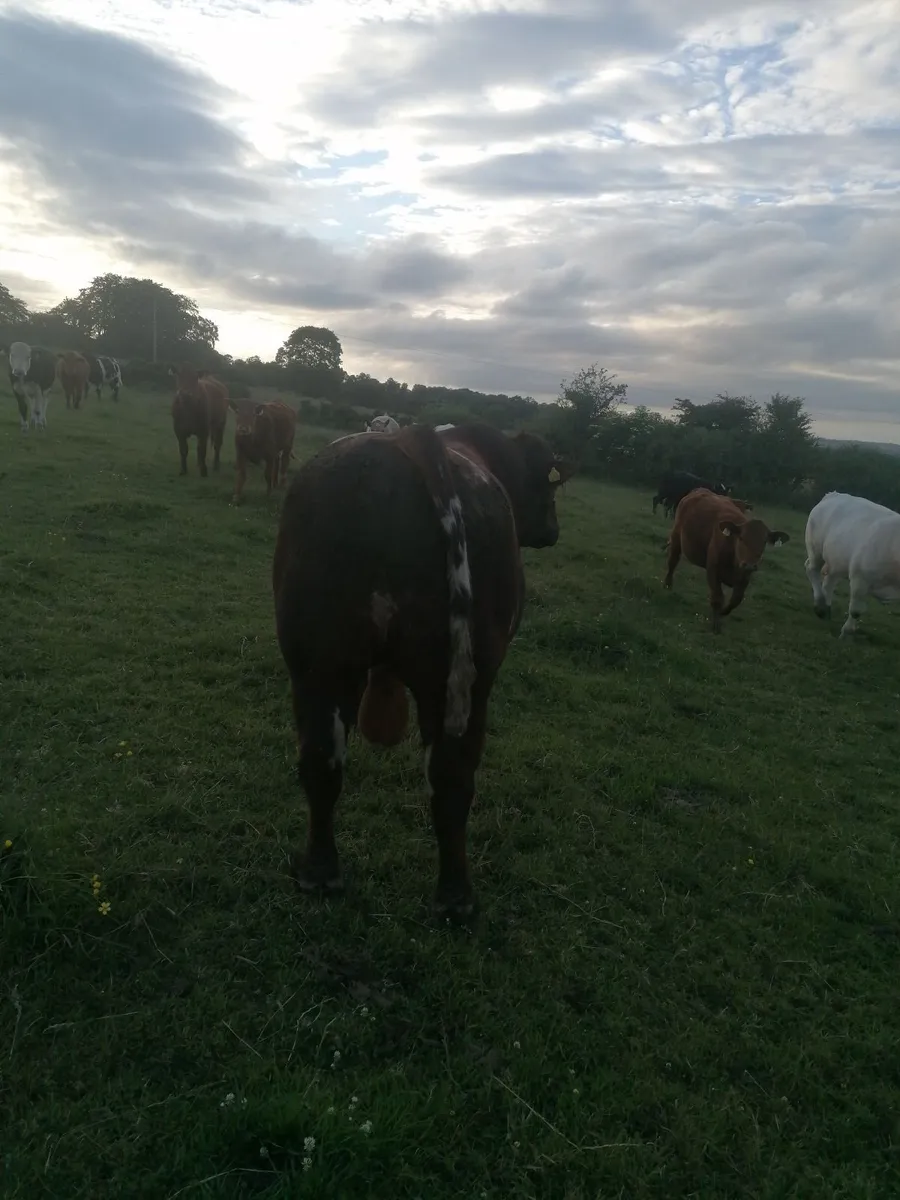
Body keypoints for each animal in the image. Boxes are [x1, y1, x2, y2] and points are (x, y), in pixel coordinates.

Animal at [272, 421, 574, 921]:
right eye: (548, 489)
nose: (553, 531)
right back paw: (456, 897)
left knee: (323, 759)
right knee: (453, 778)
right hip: (462, 681)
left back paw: (320, 872)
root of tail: (413, 439)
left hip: (320, 663)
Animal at [663, 488, 789, 632]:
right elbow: (718, 597)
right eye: (741, 538)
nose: (750, 565)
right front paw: (716, 624)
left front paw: (723, 612)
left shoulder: (745, 576)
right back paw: (668, 584)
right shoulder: (713, 570)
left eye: (764, 542)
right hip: (676, 536)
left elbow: (736, 600)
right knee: (673, 561)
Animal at [804, 491, 900, 637]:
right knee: (811, 569)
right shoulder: (860, 578)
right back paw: (820, 605)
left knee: (829, 580)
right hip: (815, 548)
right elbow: (855, 611)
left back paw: (825, 607)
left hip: (836, 559)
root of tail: (833, 494)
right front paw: (846, 633)